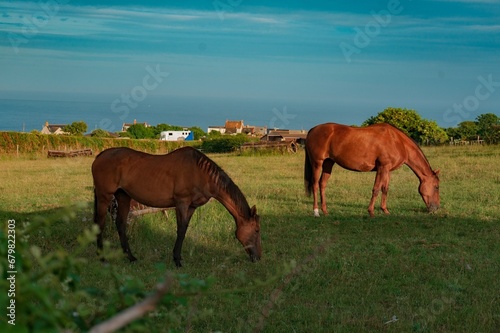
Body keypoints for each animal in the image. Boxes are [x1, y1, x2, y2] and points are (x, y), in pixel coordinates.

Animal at [92, 147, 262, 266]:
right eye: (256, 230)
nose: (258, 257)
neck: (200, 173)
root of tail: (100, 155)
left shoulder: (191, 207)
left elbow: (184, 230)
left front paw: (178, 257)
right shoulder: (181, 203)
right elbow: (180, 230)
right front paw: (177, 260)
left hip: (123, 196)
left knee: (120, 224)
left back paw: (130, 257)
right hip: (104, 196)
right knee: (100, 224)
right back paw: (102, 257)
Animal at [302, 123, 440, 217]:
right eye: (437, 186)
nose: (436, 208)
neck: (397, 141)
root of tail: (312, 130)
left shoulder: (387, 170)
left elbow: (385, 189)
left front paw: (385, 210)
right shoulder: (382, 167)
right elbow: (376, 189)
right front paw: (371, 212)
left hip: (328, 163)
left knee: (322, 184)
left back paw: (325, 211)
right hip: (317, 163)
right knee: (315, 184)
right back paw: (316, 212)